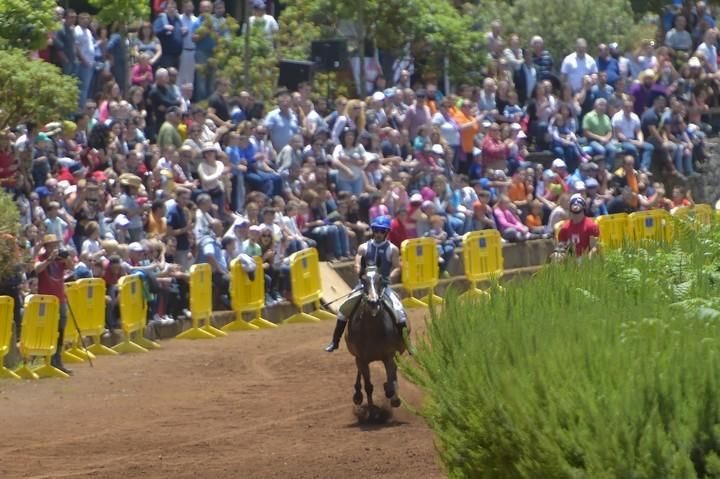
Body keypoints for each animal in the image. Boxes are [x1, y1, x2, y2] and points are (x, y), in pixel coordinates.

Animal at [344, 262, 404, 412]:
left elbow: (390, 383)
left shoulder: (389, 356)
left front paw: (393, 396)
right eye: (363, 280)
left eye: (380, 279)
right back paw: (357, 394)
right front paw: (371, 411)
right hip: (358, 358)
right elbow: (368, 387)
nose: (373, 302)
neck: (373, 331)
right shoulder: (362, 358)